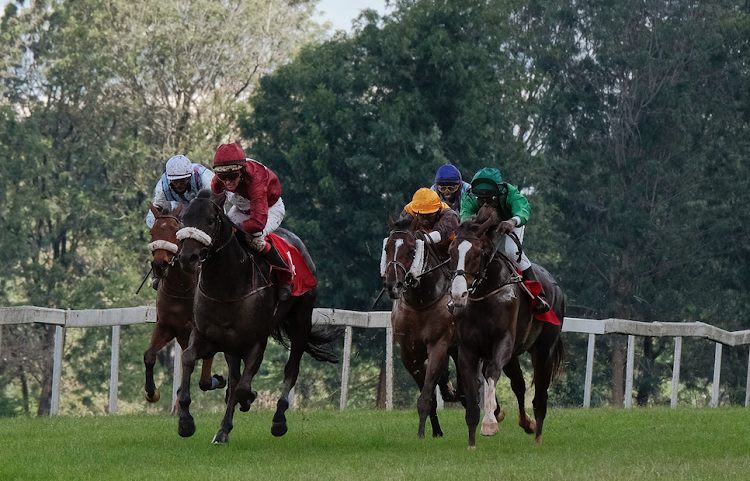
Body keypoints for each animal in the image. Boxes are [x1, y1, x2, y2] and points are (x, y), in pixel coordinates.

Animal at [145, 202, 225, 404]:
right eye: (152, 232)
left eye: (176, 231)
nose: (160, 265)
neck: (180, 290)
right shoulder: (166, 326)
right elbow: (149, 355)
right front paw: (151, 392)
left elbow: (205, 379)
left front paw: (218, 380)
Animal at [175, 190, 340, 442]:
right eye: (183, 219)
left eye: (211, 220)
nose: (188, 258)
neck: (228, 287)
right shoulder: (209, 337)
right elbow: (188, 358)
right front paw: (186, 421)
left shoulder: (255, 342)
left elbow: (242, 388)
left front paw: (249, 398)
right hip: (232, 346)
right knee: (235, 377)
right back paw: (223, 429)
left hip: (301, 320)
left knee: (291, 369)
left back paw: (278, 419)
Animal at [384, 216, 462, 436]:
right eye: (386, 248)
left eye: (412, 250)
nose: (393, 285)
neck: (421, 302)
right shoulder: (409, 353)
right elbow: (429, 395)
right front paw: (435, 432)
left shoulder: (438, 346)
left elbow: (426, 396)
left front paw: (421, 434)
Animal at [446, 204, 564, 448]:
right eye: (451, 253)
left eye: (477, 253)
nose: (458, 295)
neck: (484, 294)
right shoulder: (467, 349)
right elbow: (471, 389)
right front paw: (471, 442)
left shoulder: (503, 342)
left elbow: (491, 372)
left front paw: (489, 424)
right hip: (514, 356)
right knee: (519, 385)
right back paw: (527, 424)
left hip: (543, 350)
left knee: (540, 396)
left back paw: (537, 436)